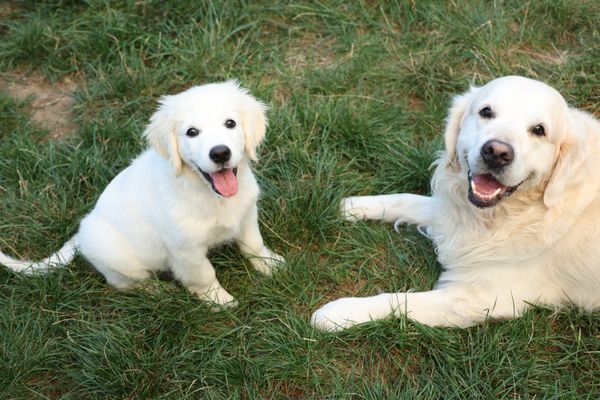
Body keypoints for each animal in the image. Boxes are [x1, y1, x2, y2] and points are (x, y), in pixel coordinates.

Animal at [0, 81, 286, 306]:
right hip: (120, 260)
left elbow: (253, 244)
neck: (211, 196)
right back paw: (157, 290)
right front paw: (220, 301)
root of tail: (81, 234)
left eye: (230, 123)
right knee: (122, 284)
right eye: (192, 132)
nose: (220, 153)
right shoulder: (185, 249)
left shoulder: (247, 213)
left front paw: (270, 264)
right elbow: (204, 275)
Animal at [312, 76, 600, 332]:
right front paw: (351, 206)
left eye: (539, 130)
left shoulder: (483, 297)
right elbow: (406, 199)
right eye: (486, 112)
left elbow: (399, 299)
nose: (496, 153)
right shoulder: (449, 212)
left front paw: (338, 313)